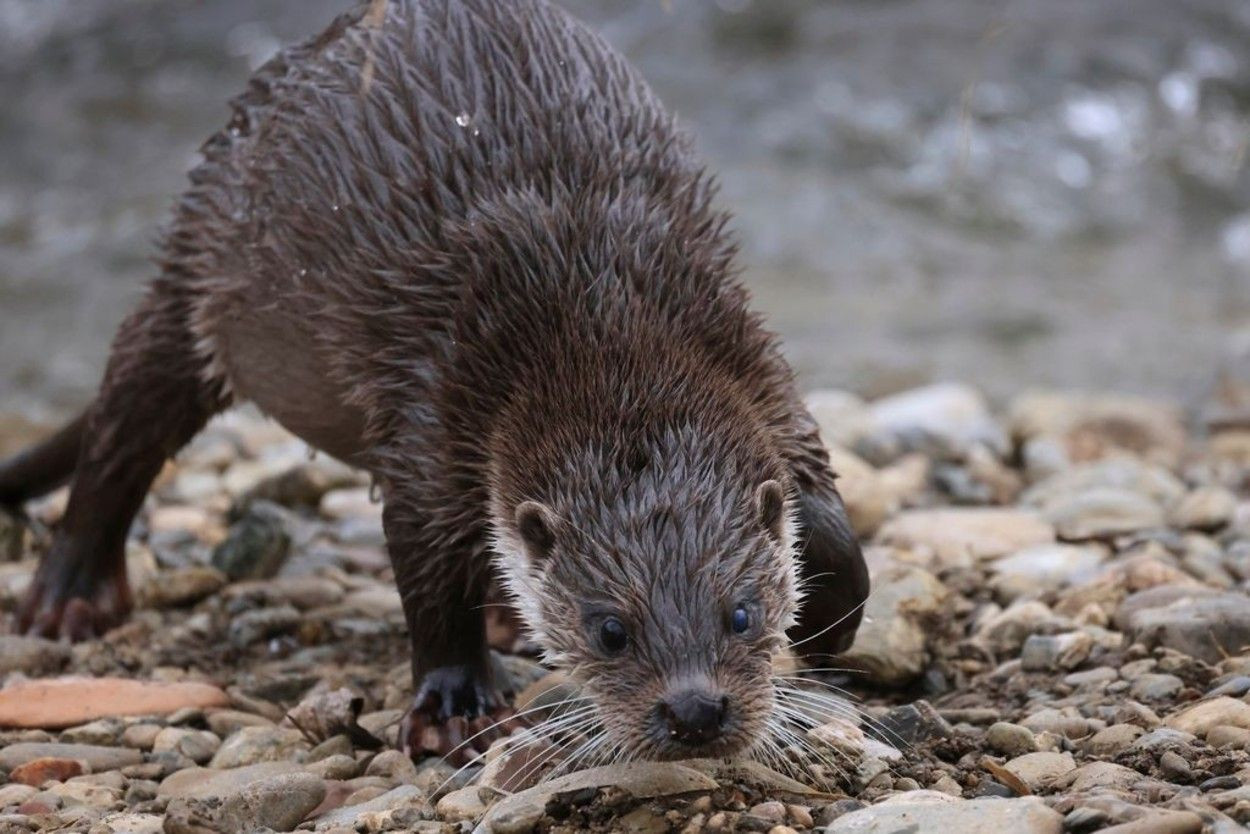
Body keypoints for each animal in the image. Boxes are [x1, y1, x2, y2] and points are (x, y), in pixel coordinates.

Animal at [0, 0, 870, 765]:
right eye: (609, 630)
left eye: (741, 613)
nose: (695, 711)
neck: (602, 310)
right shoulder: (436, 402)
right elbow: (425, 560)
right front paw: (455, 705)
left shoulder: (750, 354)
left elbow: (826, 518)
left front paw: (827, 632)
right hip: (198, 277)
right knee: (125, 422)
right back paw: (69, 596)